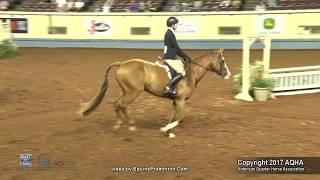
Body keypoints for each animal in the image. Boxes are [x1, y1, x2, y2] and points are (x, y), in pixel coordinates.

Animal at [79, 48, 231, 138]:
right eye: (222, 60)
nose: (228, 74)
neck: (190, 73)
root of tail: (121, 64)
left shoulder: (176, 100)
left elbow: (173, 117)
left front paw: (168, 132)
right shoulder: (181, 100)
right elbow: (180, 118)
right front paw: (165, 130)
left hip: (127, 91)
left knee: (118, 104)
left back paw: (125, 124)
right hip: (133, 92)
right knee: (120, 105)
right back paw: (126, 125)